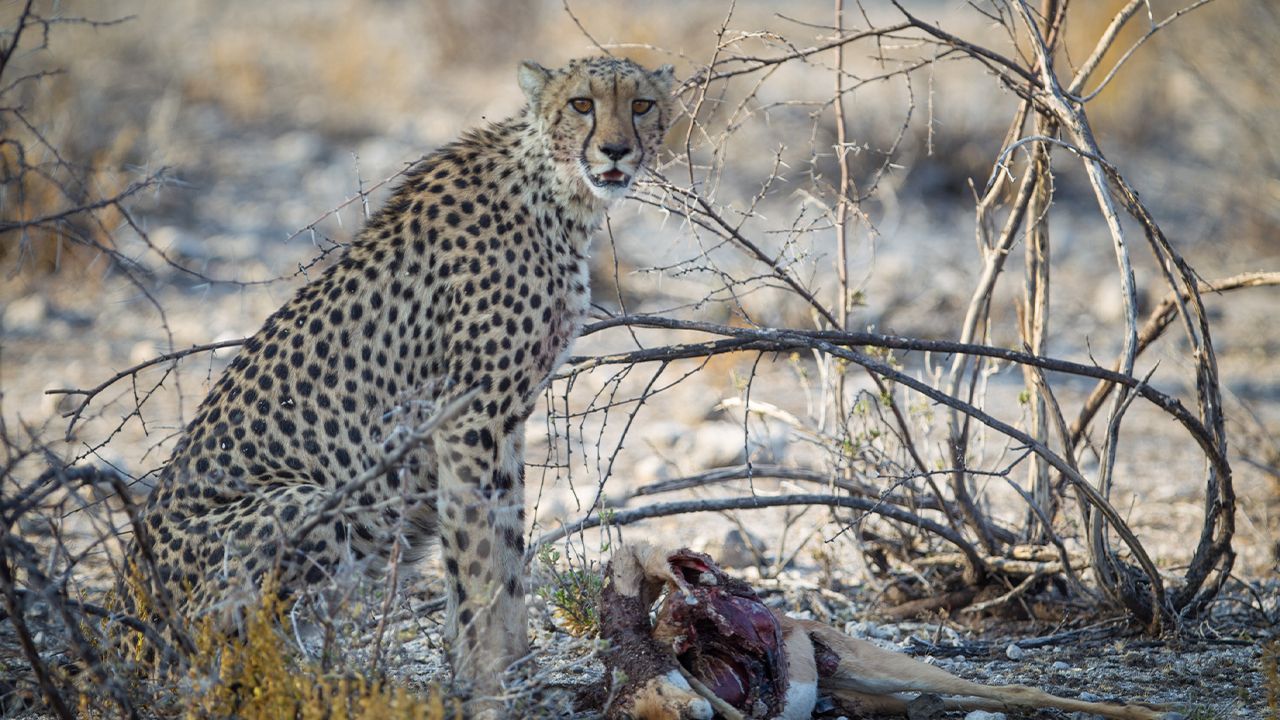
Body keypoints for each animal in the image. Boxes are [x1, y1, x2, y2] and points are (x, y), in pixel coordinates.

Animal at [124, 56, 675, 696]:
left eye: (641, 105)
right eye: (582, 104)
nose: (615, 150)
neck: (556, 190)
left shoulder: (505, 421)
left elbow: (507, 552)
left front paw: (516, 668)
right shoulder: (467, 415)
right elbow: (477, 558)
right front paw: (488, 678)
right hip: (303, 501)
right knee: (210, 658)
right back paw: (314, 682)